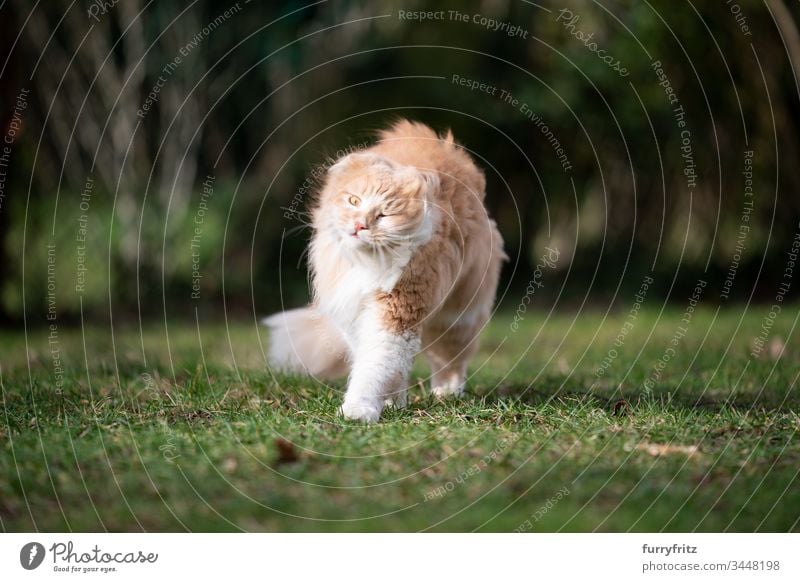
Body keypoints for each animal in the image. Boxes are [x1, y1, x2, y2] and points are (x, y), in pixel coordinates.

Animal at [266, 118, 504, 422]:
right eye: (354, 201)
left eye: (384, 215)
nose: (359, 226)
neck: (366, 264)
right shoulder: (354, 316)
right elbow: (388, 369)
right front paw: (391, 404)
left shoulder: (395, 314)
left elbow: (374, 368)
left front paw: (358, 411)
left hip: (456, 318)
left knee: (451, 362)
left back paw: (447, 394)